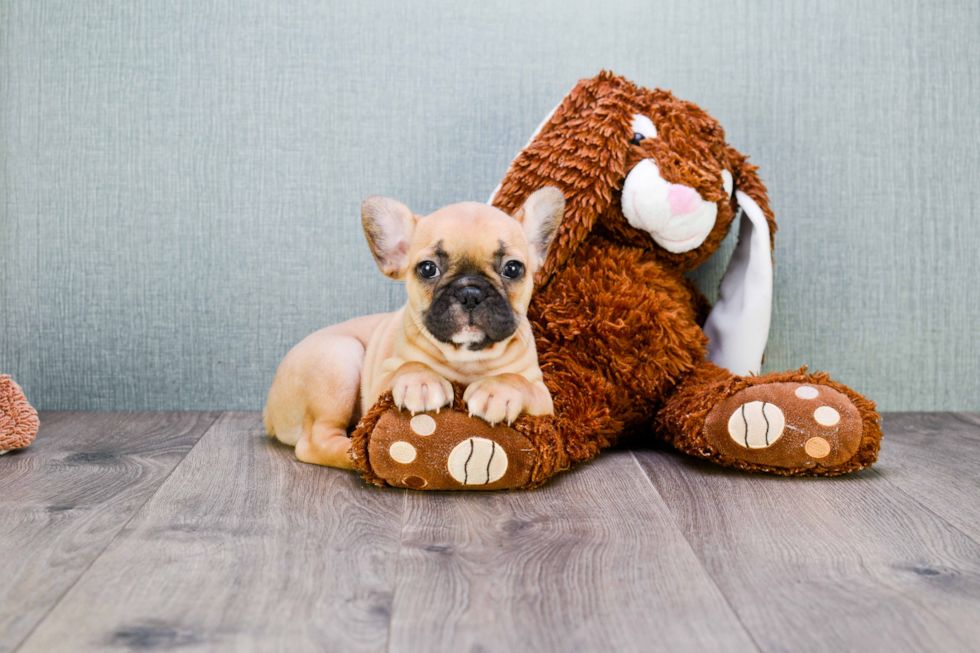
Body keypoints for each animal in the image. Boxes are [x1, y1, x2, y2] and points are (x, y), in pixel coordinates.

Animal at [264, 186, 564, 466]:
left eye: (513, 269)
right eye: (427, 269)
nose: (470, 293)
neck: (467, 357)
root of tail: (268, 411)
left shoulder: (542, 396)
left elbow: (516, 380)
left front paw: (496, 390)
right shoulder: (379, 387)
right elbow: (409, 366)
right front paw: (422, 381)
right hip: (339, 357)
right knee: (317, 441)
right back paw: (361, 454)